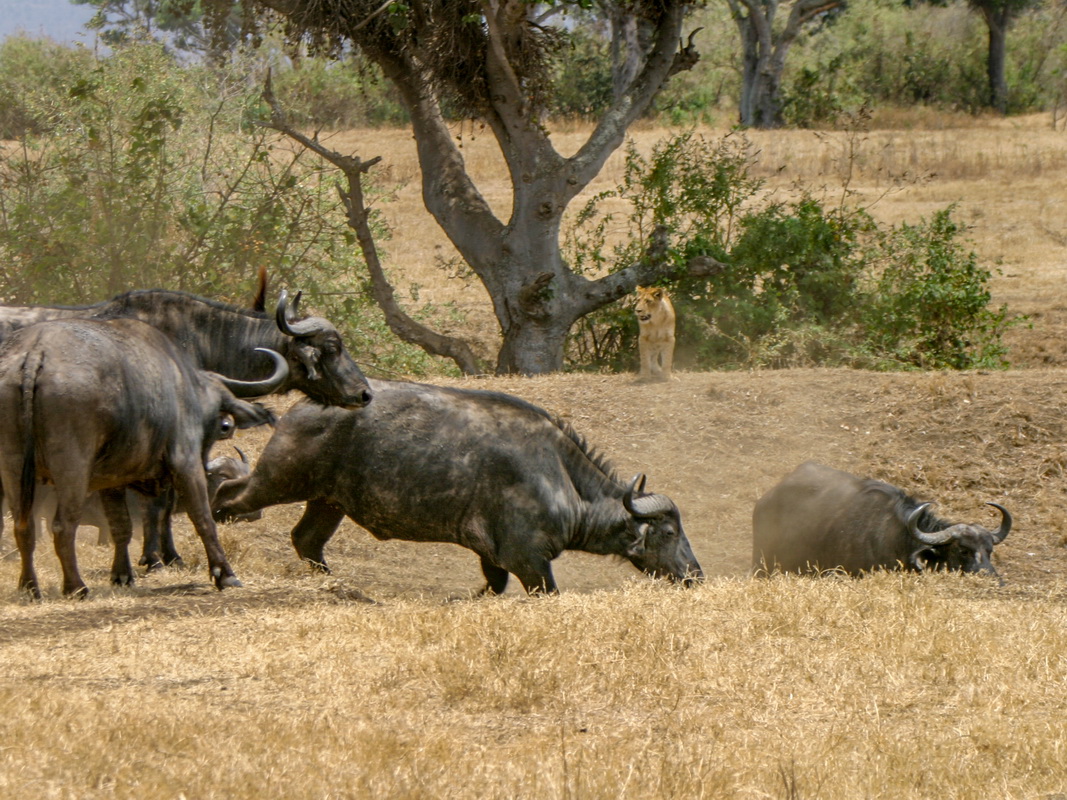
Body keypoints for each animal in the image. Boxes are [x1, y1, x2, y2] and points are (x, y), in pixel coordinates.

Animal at [0, 315, 283, 597]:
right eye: (218, 408)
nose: (226, 427)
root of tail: (36, 351)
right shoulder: (186, 463)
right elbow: (202, 518)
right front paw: (225, 575)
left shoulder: (111, 480)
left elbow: (121, 525)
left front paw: (122, 575)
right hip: (72, 468)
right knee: (62, 525)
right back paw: (76, 587)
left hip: (14, 469)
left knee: (24, 527)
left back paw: (29, 586)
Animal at [212, 379, 704, 597]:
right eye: (668, 532)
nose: (694, 574)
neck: (557, 473)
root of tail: (302, 407)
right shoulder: (529, 561)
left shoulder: (493, 558)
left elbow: (490, 588)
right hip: (277, 480)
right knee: (226, 499)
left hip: (328, 502)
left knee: (306, 540)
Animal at [746, 460, 1011, 580]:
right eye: (963, 550)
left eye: (989, 551)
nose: (994, 581)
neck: (896, 537)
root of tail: (764, 500)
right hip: (762, 563)